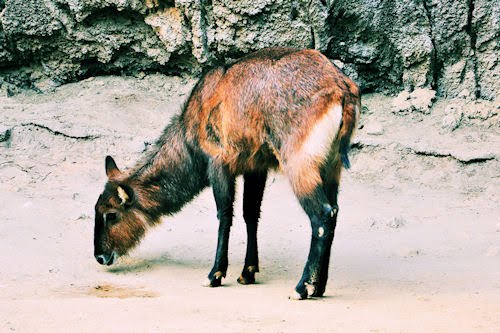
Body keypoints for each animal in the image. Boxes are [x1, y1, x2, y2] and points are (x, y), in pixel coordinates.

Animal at [94, 47, 360, 298]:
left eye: (111, 214)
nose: (99, 256)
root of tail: (342, 89)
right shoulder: (256, 168)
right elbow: (250, 214)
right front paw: (248, 272)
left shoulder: (218, 164)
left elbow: (225, 215)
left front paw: (215, 274)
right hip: (330, 166)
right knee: (334, 212)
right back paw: (319, 286)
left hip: (300, 166)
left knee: (322, 216)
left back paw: (302, 288)